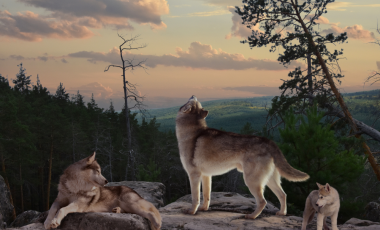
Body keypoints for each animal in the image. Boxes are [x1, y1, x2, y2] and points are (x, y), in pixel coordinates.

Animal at [177, 95, 310, 219]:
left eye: (192, 101)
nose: (193, 95)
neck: (191, 131)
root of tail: (268, 141)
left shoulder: (194, 175)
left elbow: (195, 197)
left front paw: (192, 211)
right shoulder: (206, 176)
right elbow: (206, 196)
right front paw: (203, 209)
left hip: (251, 181)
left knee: (263, 201)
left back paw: (252, 216)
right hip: (270, 180)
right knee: (283, 195)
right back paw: (282, 213)